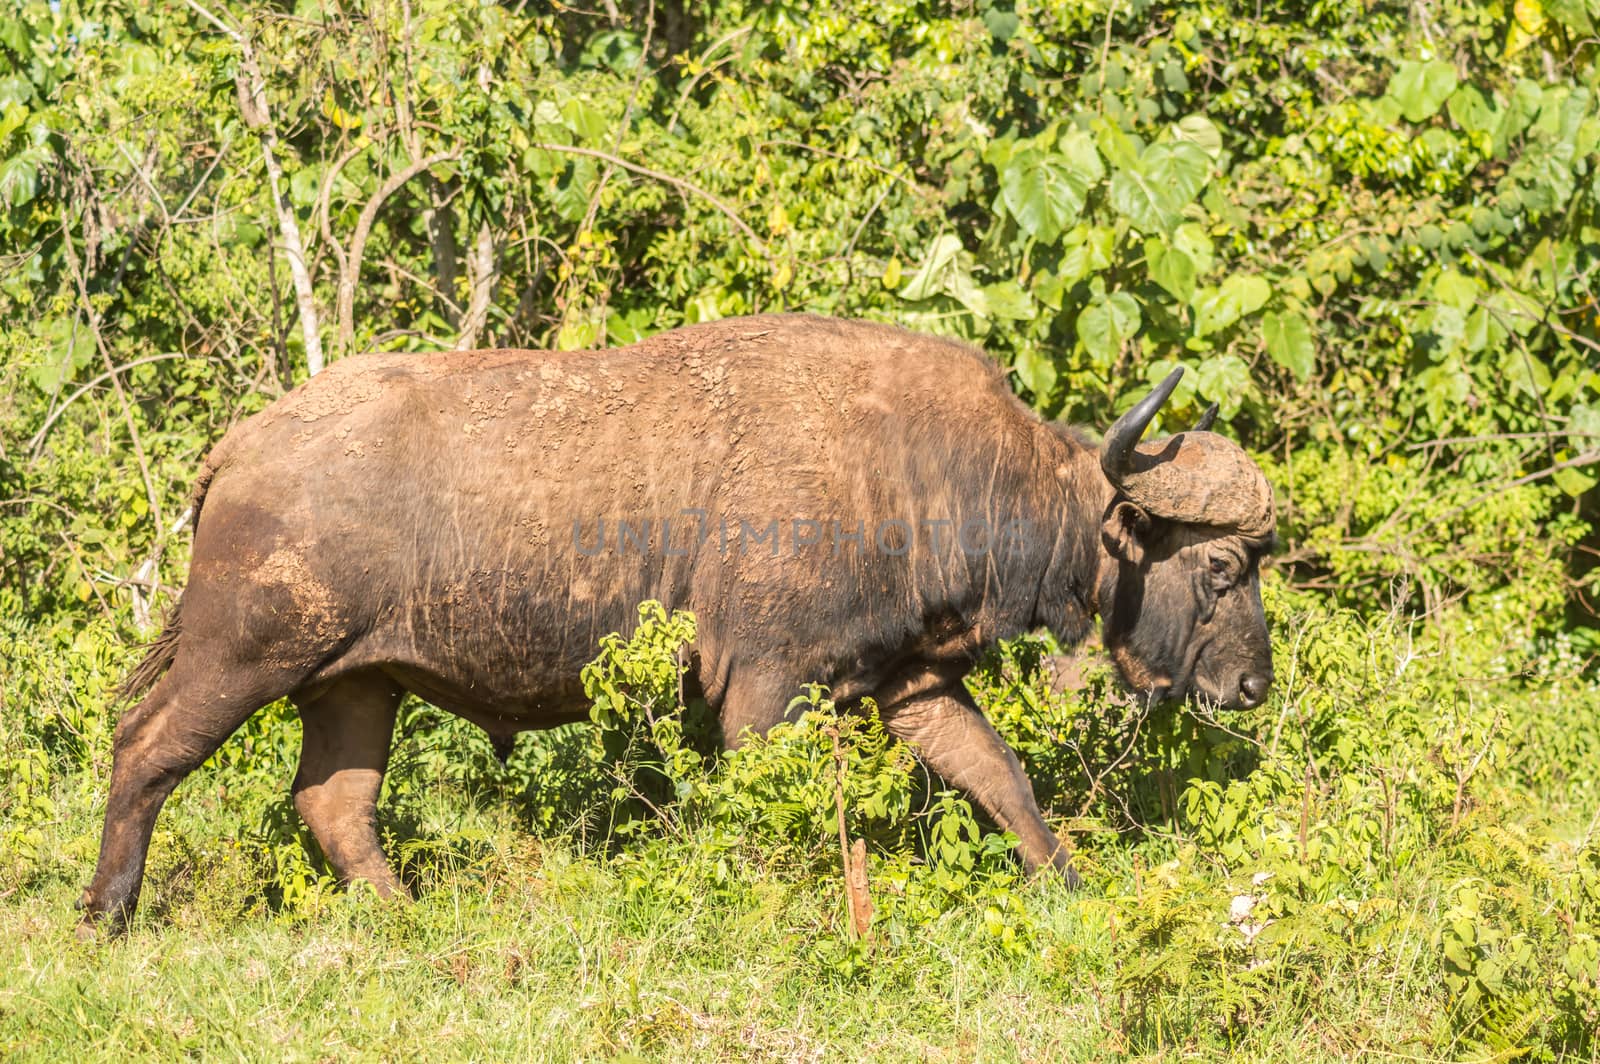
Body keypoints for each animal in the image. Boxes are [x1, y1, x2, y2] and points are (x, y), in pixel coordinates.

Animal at [75, 313, 1273, 928]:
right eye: (1219, 562)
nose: (1252, 685)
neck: (920, 467)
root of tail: (244, 444)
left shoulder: (910, 682)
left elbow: (999, 777)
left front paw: (1067, 884)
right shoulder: (767, 690)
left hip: (355, 687)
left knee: (334, 805)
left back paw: (405, 917)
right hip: (248, 657)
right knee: (146, 747)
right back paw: (106, 912)